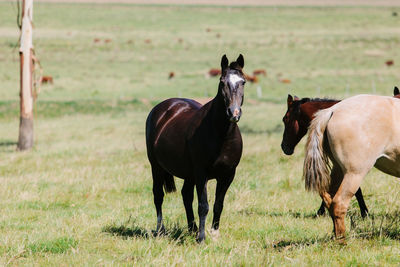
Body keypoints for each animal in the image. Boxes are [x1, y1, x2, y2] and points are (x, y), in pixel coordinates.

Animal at [145, 54, 245, 243]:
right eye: (222, 82)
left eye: (243, 82)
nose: (233, 113)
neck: (221, 135)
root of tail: (163, 108)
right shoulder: (201, 173)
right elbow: (203, 205)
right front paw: (201, 238)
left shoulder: (228, 174)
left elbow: (218, 204)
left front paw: (214, 233)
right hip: (156, 166)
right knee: (158, 195)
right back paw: (161, 229)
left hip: (188, 173)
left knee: (186, 195)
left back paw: (192, 228)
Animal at [304, 95, 400, 242]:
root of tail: (332, 110)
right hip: (354, 174)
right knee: (339, 203)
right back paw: (341, 240)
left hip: (339, 171)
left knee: (329, 200)